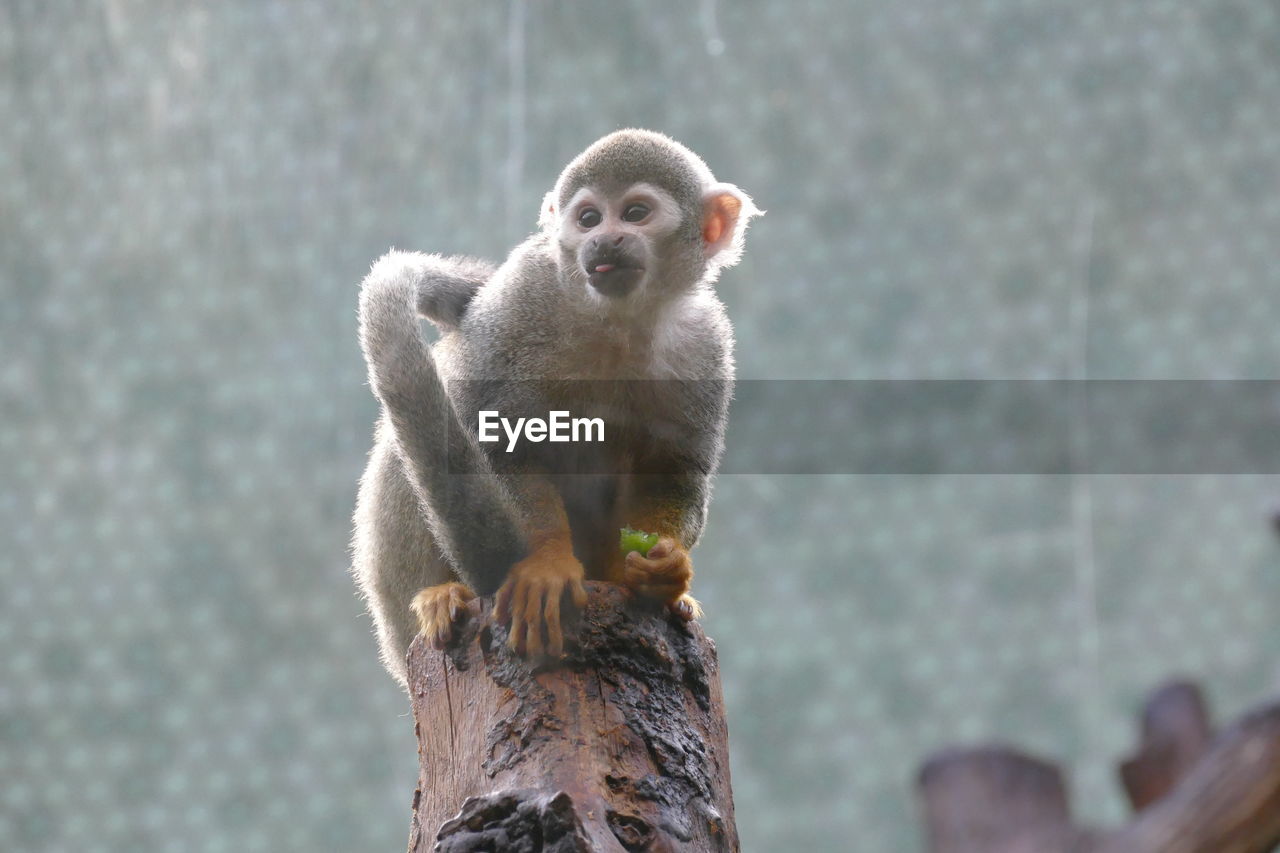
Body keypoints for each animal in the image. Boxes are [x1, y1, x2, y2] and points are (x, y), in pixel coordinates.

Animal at [350, 128, 752, 686]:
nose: (603, 241)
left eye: (635, 213)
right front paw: (546, 561)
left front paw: (664, 567)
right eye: (588, 218)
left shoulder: (706, 342)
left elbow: (676, 468)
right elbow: (490, 425)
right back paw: (437, 594)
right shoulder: (524, 291)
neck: (616, 318)